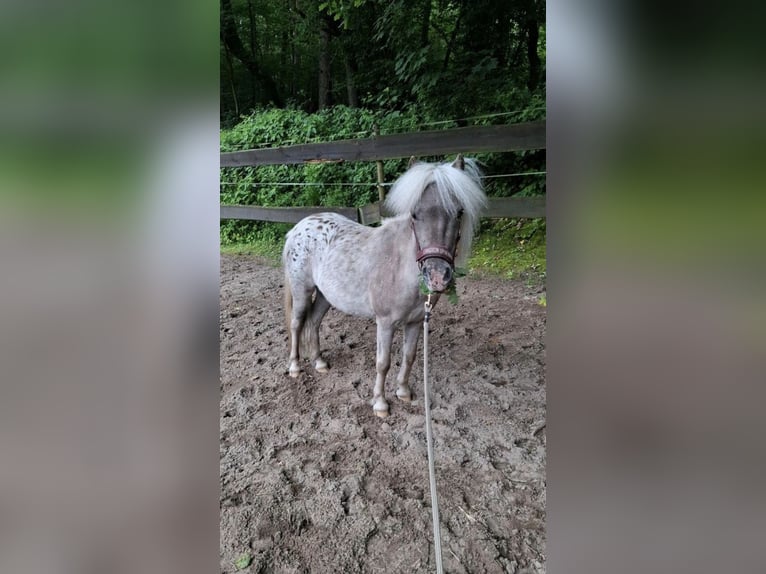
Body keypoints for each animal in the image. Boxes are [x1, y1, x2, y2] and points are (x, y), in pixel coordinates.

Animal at [282, 155, 486, 418]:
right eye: (414, 214)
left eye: (459, 213)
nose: (437, 276)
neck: (400, 267)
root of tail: (299, 227)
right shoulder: (386, 323)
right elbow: (383, 363)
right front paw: (380, 403)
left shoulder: (415, 322)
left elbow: (409, 356)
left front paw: (403, 392)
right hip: (302, 292)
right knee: (297, 324)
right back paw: (295, 367)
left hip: (327, 296)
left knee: (314, 322)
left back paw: (319, 362)